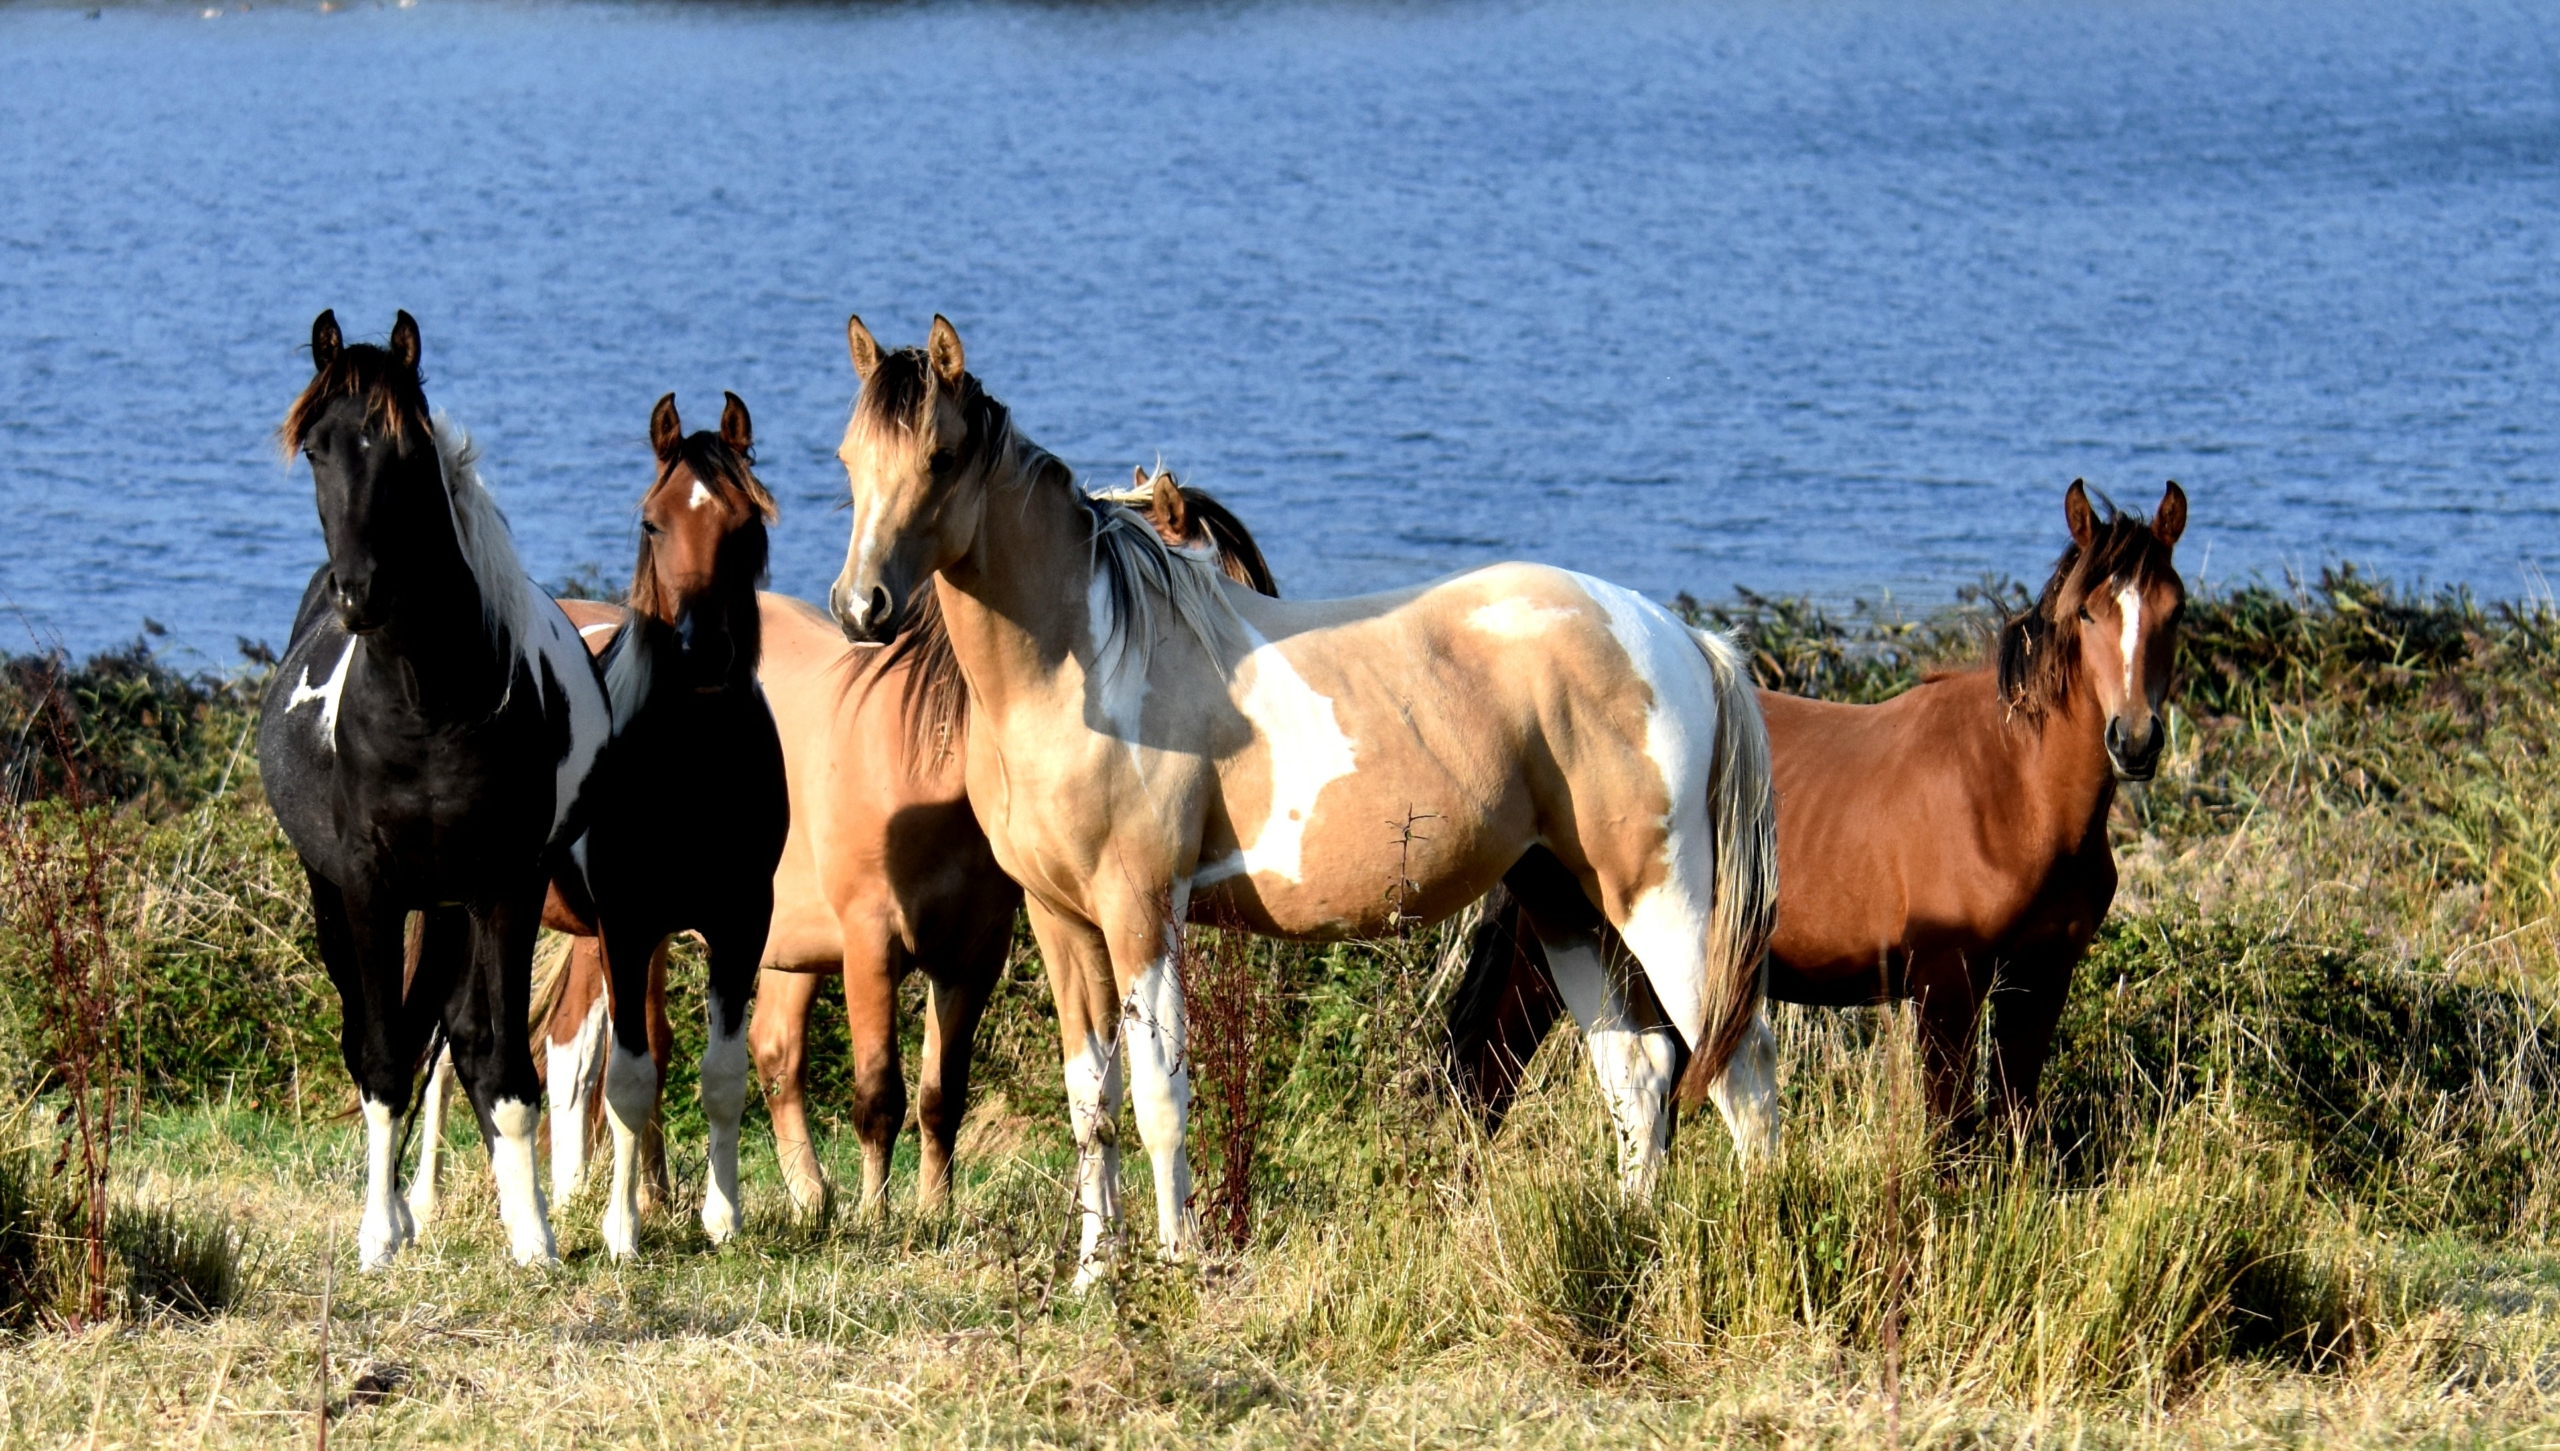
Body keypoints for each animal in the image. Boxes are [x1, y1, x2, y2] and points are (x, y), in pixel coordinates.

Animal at [256, 309, 609, 1269]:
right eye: (317, 448)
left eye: (405, 451)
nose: (361, 593)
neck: (426, 708)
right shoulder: (368, 888)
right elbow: (381, 1059)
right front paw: (379, 1234)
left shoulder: (504, 884)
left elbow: (502, 1063)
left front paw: (534, 1236)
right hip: (340, 899)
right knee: (384, 1035)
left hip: (454, 904)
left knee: (456, 1028)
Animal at [829, 321, 1771, 1284]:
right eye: (849, 459)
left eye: (941, 457)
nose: (861, 607)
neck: (1086, 663)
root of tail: (1681, 638)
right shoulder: (1063, 921)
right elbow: (1091, 1104)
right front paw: (1096, 1274)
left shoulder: (1142, 910)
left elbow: (1161, 1095)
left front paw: (1181, 1265)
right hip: (1564, 903)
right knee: (1641, 1075)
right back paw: (1631, 1241)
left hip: (1663, 901)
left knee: (1740, 1067)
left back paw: (1762, 1235)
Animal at [1454, 483, 2191, 1141]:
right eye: (2089, 612)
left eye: (2175, 610)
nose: (2135, 740)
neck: (2013, 793)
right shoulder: (1947, 983)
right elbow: (1950, 1134)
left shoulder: (2039, 977)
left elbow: (2014, 1120)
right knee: (1490, 1070)